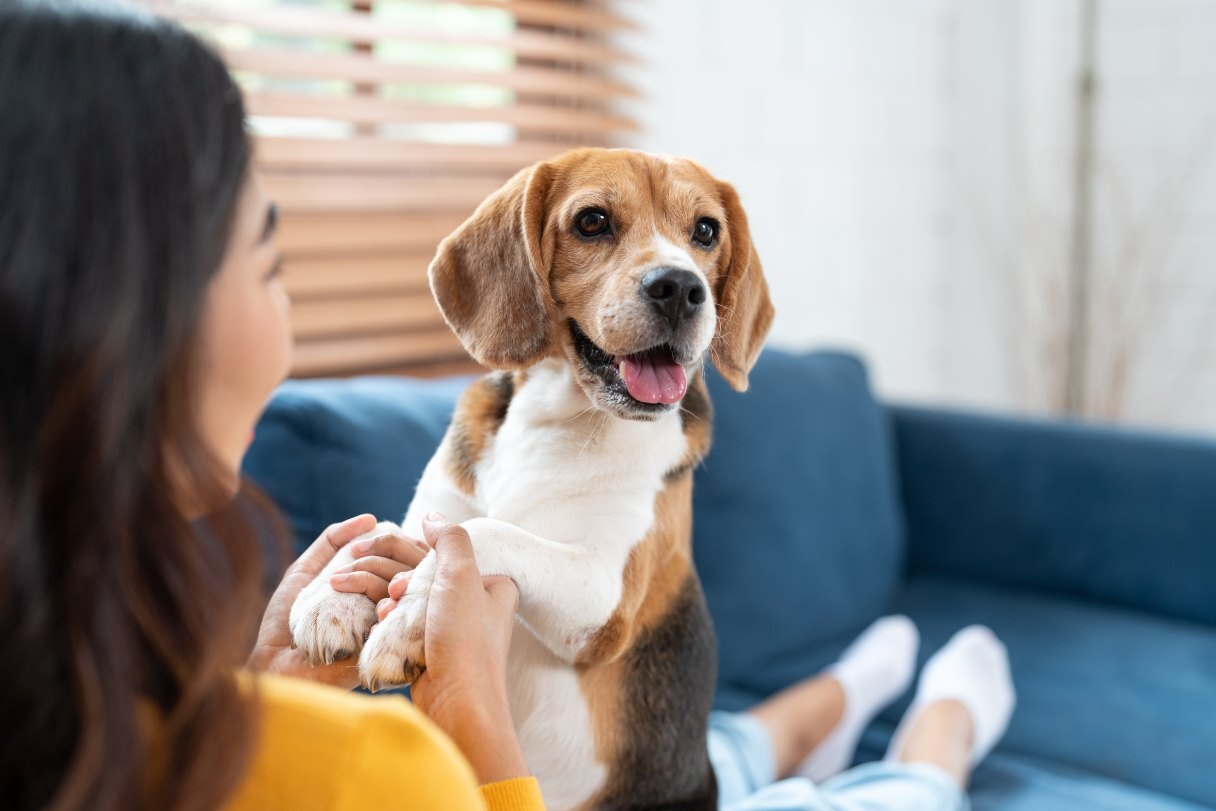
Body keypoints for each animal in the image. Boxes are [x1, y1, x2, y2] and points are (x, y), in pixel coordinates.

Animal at [289, 148, 773, 807]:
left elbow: (487, 534)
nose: (680, 288)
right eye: (592, 221)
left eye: (705, 231)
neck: (556, 418)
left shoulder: (604, 604)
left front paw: (410, 624)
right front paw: (327, 599)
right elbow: (379, 530)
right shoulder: (434, 513)